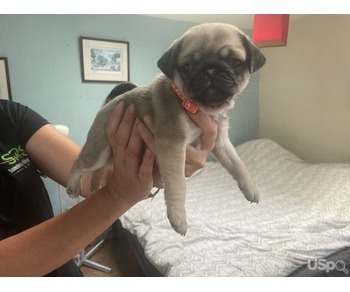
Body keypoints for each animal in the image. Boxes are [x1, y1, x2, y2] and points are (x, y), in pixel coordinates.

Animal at [67, 24, 266, 236]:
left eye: (235, 63)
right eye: (187, 68)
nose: (211, 70)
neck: (201, 108)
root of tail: (106, 105)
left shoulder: (220, 142)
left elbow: (238, 164)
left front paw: (251, 188)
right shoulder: (173, 146)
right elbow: (178, 183)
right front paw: (178, 216)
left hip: (108, 156)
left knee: (100, 170)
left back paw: (94, 184)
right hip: (98, 151)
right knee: (79, 164)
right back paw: (73, 186)